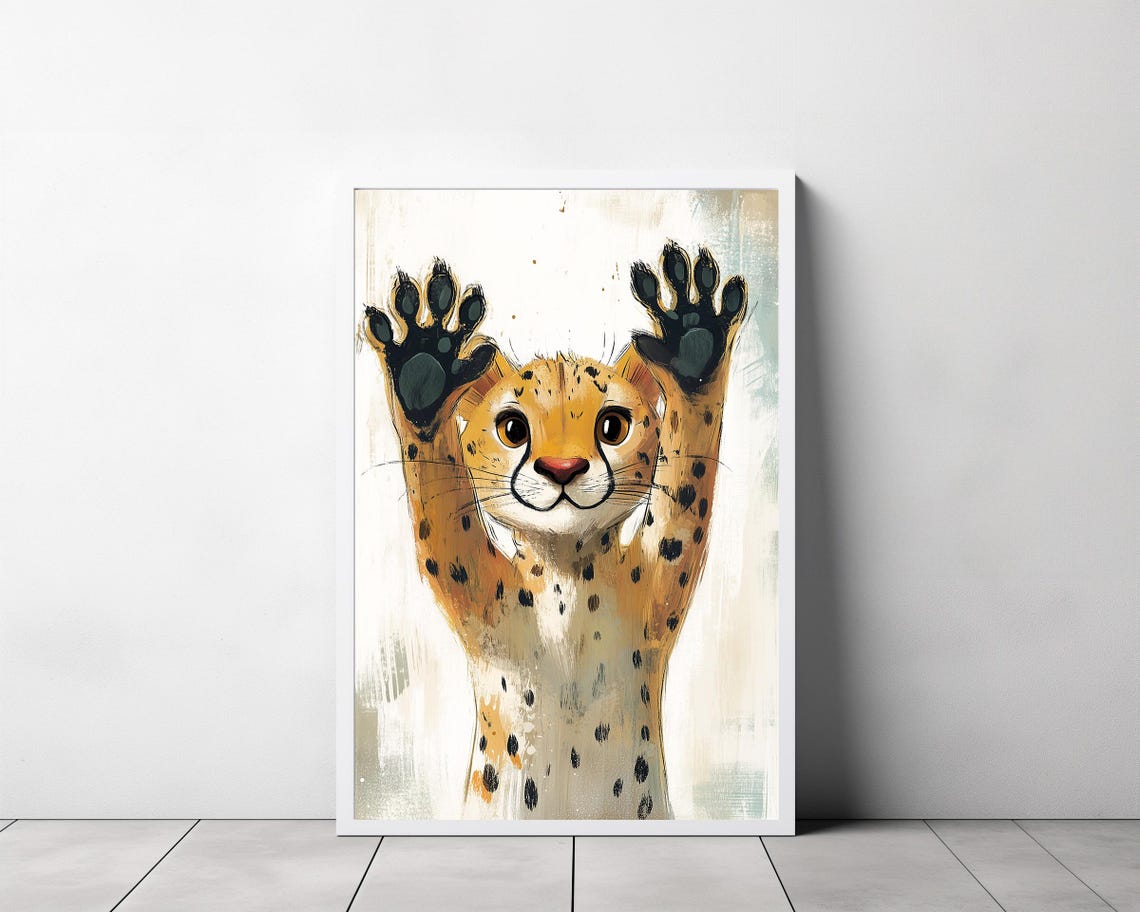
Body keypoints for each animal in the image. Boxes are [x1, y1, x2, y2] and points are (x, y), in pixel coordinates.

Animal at [361, 241, 748, 820]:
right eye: (512, 428)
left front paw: (695, 341)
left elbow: (685, 487)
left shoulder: (663, 579)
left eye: (613, 425)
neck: (568, 572)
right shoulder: (472, 585)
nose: (562, 468)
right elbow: (443, 509)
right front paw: (423, 368)